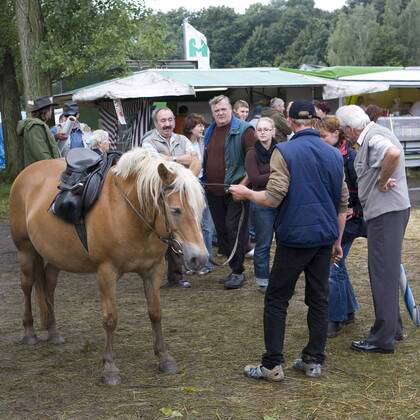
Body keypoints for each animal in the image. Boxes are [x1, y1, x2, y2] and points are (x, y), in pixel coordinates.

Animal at [8, 148, 208, 384]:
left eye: (201, 208)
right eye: (176, 210)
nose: (199, 258)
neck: (128, 212)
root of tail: (26, 173)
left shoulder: (153, 270)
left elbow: (155, 313)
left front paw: (164, 358)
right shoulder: (106, 272)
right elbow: (110, 318)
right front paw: (110, 368)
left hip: (55, 256)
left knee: (48, 286)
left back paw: (54, 332)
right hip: (25, 251)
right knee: (27, 286)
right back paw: (29, 332)